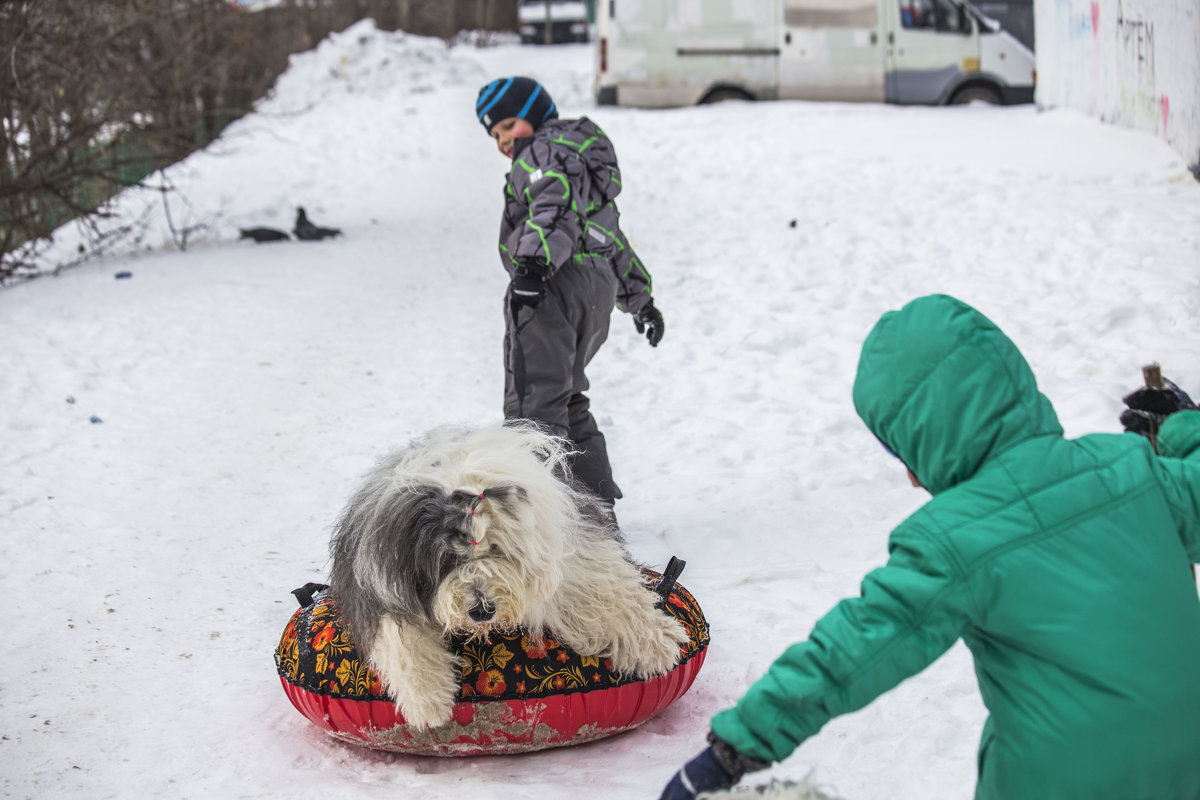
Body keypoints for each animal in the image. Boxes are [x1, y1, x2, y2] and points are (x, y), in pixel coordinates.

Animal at [328, 422, 691, 729]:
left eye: (497, 549)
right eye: (449, 557)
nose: (481, 610)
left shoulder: (568, 551)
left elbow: (600, 592)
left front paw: (657, 641)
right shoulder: (379, 578)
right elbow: (400, 636)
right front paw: (428, 703)